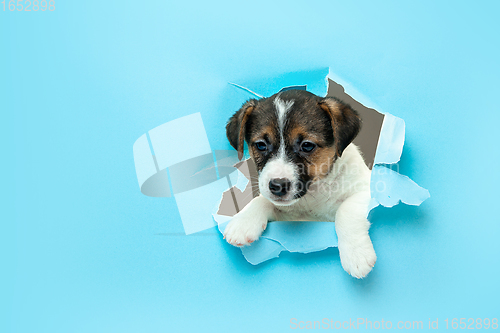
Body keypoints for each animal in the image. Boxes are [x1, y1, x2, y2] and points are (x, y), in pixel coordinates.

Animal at [223, 89, 376, 278]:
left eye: (307, 145)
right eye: (260, 145)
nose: (278, 186)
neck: (313, 195)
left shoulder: (367, 190)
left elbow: (346, 209)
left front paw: (356, 255)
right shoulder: (288, 216)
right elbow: (262, 200)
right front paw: (244, 222)